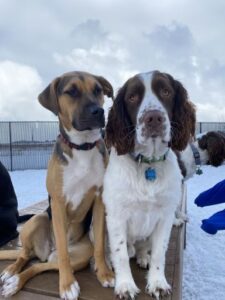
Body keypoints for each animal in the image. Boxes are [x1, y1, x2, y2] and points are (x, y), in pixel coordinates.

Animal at [0, 72, 114, 300]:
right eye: (71, 91)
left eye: (98, 90)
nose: (98, 111)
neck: (82, 147)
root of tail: (45, 252)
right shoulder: (59, 203)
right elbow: (62, 252)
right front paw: (67, 284)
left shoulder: (99, 201)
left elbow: (99, 244)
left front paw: (104, 273)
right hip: (38, 219)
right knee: (26, 254)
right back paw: (11, 273)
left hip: (80, 254)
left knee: (39, 265)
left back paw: (17, 281)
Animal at [102, 70, 195, 298]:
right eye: (132, 97)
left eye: (166, 91)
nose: (153, 118)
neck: (148, 165)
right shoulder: (116, 216)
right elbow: (120, 253)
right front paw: (125, 285)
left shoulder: (165, 215)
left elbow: (159, 253)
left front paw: (157, 282)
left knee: (144, 248)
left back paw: (143, 257)